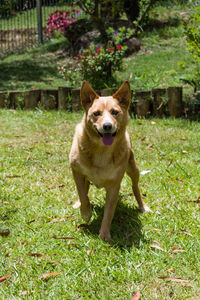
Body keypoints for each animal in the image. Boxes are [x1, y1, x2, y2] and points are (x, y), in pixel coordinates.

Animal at [69, 81, 150, 240]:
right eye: (96, 113)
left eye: (115, 112)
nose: (107, 126)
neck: (101, 150)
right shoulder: (76, 171)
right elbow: (82, 194)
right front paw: (85, 212)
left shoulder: (114, 185)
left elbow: (109, 212)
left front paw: (105, 233)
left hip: (133, 168)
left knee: (135, 187)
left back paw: (142, 206)